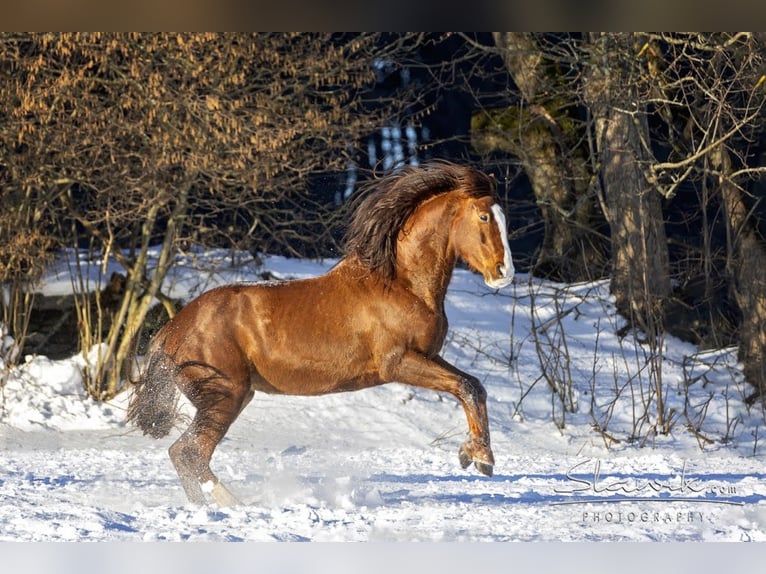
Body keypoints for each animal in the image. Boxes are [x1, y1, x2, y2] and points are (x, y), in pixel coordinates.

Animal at [127, 160, 514, 506]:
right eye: (484, 217)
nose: (504, 273)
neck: (401, 285)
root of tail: (170, 330)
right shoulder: (398, 363)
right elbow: (466, 387)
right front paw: (480, 458)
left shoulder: (429, 356)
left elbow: (474, 387)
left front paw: (474, 454)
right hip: (225, 395)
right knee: (188, 453)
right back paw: (234, 505)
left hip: (230, 396)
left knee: (186, 455)